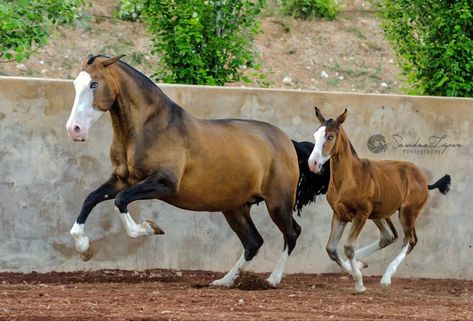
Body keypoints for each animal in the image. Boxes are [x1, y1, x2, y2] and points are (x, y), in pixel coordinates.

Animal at [306, 107, 450, 292]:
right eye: (315, 135)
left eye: (330, 136)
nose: (313, 163)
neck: (350, 177)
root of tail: (423, 180)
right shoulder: (339, 214)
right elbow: (331, 249)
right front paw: (356, 269)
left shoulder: (360, 214)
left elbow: (348, 247)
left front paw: (359, 284)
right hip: (379, 214)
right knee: (389, 236)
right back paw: (362, 262)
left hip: (407, 213)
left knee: (410, 240)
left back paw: (386, 277)